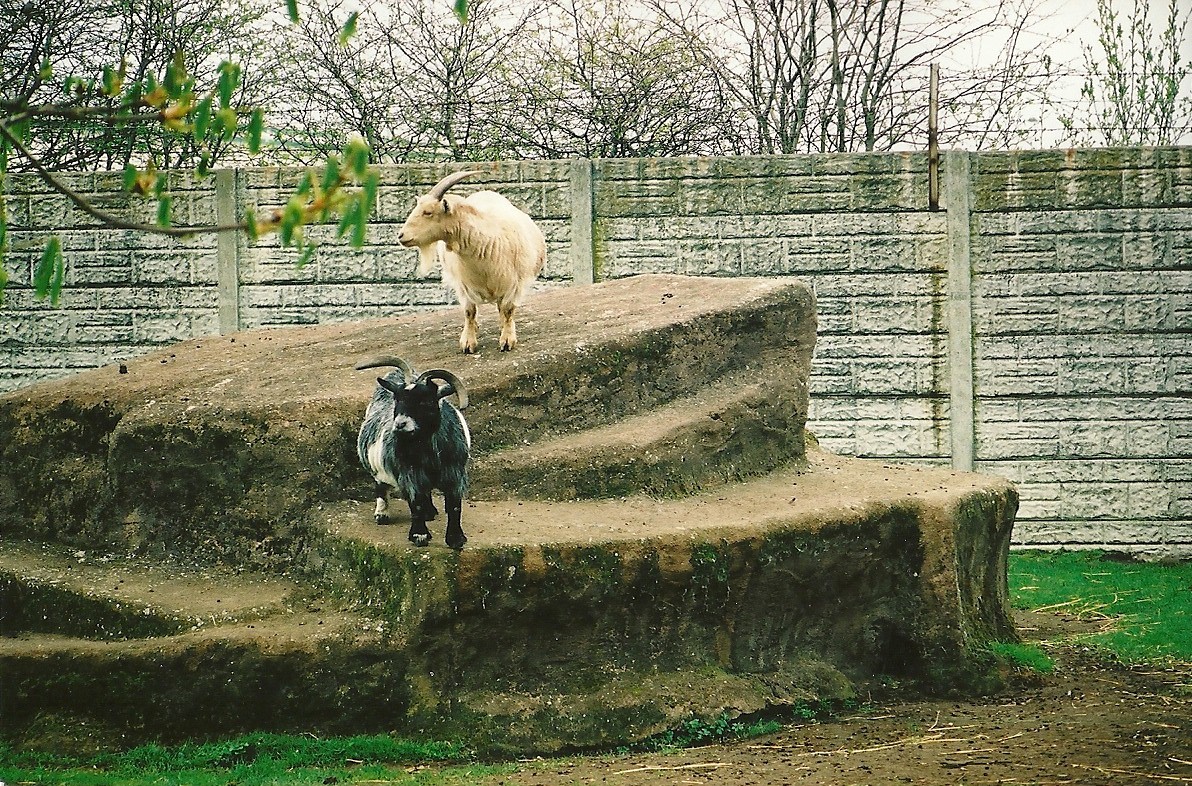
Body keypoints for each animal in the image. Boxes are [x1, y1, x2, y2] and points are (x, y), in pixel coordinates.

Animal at [355, 356, 471, 549]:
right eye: (398, 400)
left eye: (426, 402)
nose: (400, 424)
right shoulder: (408, 473)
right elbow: (415, 502)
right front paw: (419, 535)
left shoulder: (455, 473)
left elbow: (454, 505)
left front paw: (456, 539)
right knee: (381, 486)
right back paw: (382, 514)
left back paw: (430, 512)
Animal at [397, 170, 546, 354]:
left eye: (428, 212)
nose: (401, 236)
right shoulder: (463, 285)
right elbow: (469, 311)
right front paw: (468, 343)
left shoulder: (514, 283)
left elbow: (508, 310)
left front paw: (507, 341)